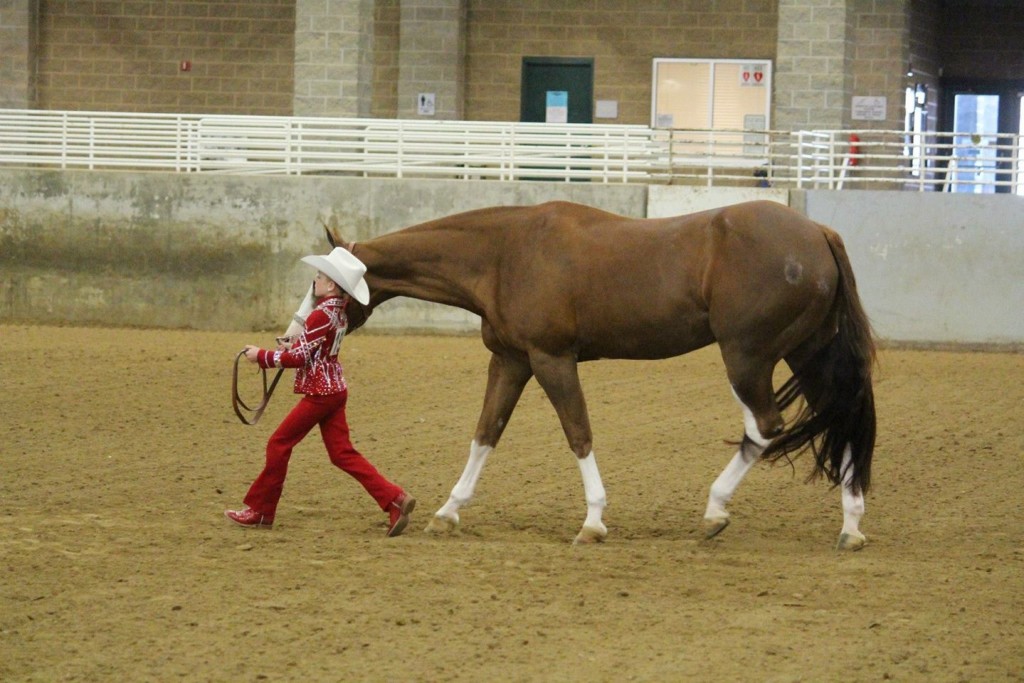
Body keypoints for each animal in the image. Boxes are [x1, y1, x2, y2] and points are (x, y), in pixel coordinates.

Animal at [325, 198, 872, 548]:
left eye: (325, 284)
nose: (305, 326)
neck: (507, 252)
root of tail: (817, 233)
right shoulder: (511, 361)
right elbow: (485, 434)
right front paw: (447, 512)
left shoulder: (551, 359)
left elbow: (578, 433)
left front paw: (592, 521)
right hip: (806, 353)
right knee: (842, 423)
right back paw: (850, 526)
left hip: (747, 356)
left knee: (764, 427)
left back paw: (716, 511)